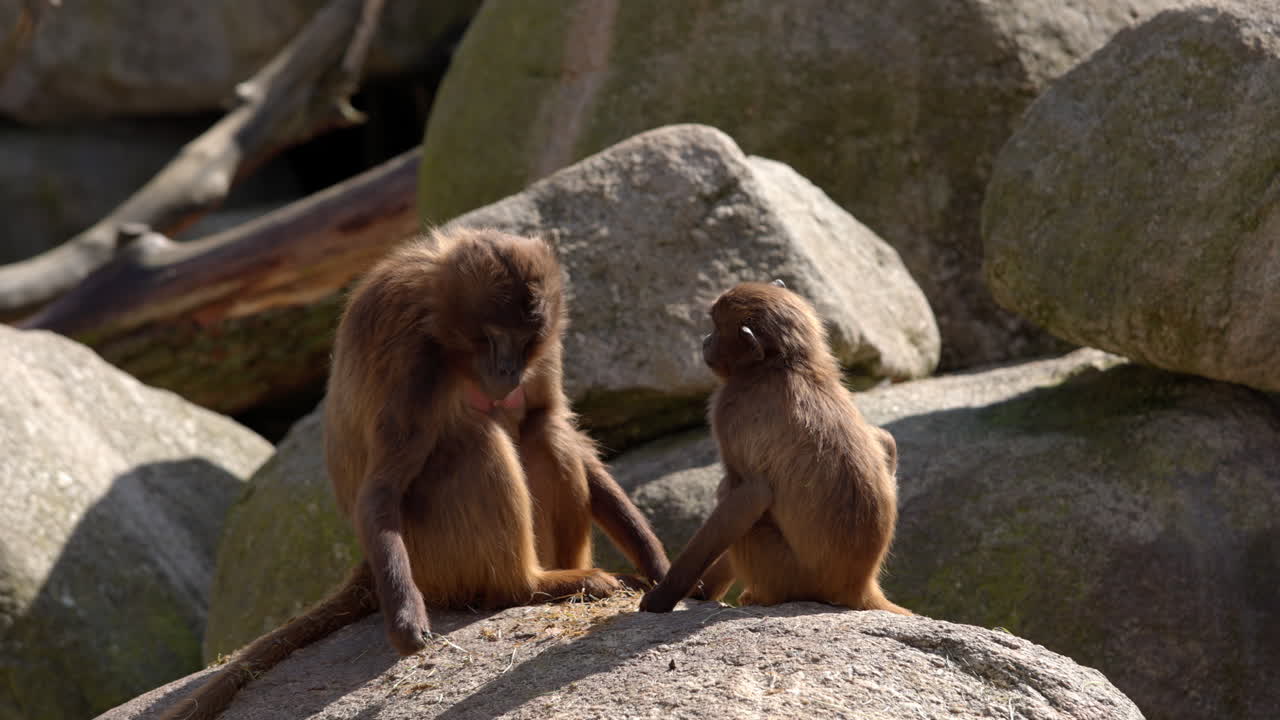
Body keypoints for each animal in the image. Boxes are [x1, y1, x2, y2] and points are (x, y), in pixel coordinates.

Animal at [158, 228, 669, 720]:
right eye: (491, 337)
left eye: (525, 340)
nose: (507, 372)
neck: (442, 324)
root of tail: (367, 566)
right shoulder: (411, 361)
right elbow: (382, 486)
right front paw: (406, 619)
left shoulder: (544, 353)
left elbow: (555, 419)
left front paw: (659, 565)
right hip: (432, 557)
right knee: (474, 442)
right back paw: (530, 586)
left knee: (543, 430)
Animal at [639, 279, 910, 615]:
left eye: (715, 327)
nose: (704, 342)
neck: (785, 364)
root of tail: (858, 585)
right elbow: (884, 439)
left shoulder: (729, 406)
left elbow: (752, 494)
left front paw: (662, 597)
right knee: (886, 443)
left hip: (788, 575)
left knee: (732, 492)